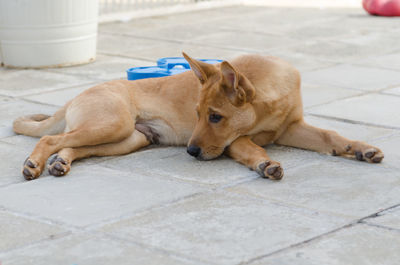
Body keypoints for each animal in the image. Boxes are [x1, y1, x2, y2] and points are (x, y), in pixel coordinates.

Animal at [14, 51, 384, 179]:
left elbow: (330, 136)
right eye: (197, 114)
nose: (190, 152)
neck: (270, 99)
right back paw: (35, 164)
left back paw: (60, 163)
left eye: (215, 117)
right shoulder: (236, 142)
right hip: (111, 124)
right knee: (50, 138)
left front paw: (359, 148)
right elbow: (253, 148)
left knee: (71, 146)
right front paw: (266, 164)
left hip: (127, 138)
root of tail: (77, 95)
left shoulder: (292, 127)